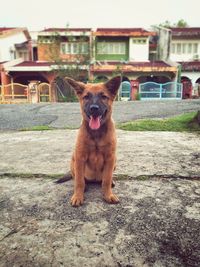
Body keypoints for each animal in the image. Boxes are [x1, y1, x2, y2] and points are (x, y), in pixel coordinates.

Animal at [64, 75, 121, 207]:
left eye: (103, 97)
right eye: (86, 97)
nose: (94, 108)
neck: (96, 134)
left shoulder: (110, 158)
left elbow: (106, 180)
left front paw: (108, 195)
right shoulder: (80, 158)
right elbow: (79, 181)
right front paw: (78, 196)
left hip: (115, 161)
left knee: (104, 179)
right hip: (73, 161)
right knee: (78, 178)